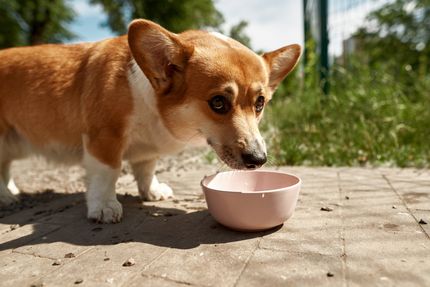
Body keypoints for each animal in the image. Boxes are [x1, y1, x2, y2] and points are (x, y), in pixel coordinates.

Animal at [0, 19, 300, 224]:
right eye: (218, 102)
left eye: (260, 103)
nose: (258, 160)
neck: (147, 97)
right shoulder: (104, 138)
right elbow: (107, 174)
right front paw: (105, 206)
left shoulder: (146, 150)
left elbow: (146, 171)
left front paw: (152, 192)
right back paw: (5, 197)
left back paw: (10, 191)